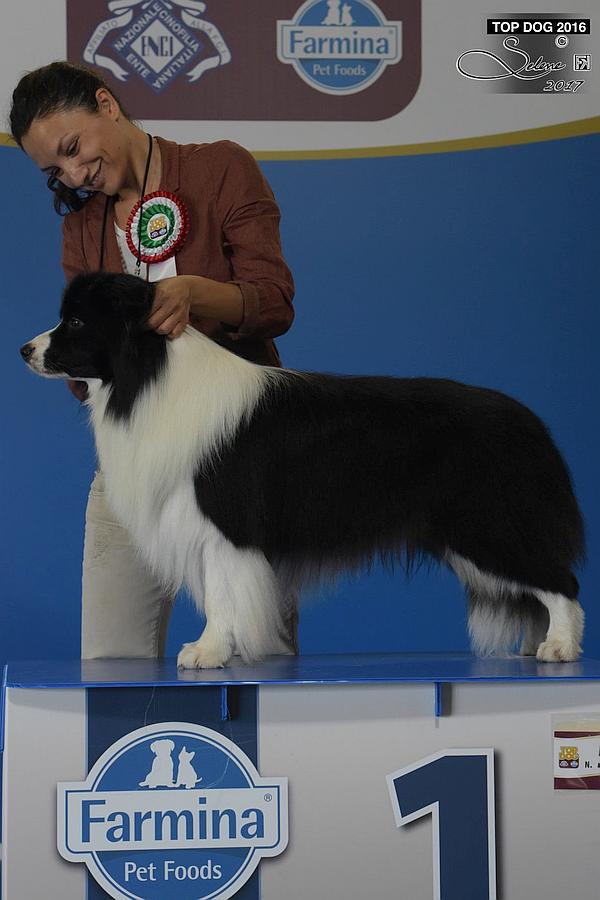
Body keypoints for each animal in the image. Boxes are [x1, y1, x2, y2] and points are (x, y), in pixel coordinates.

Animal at [21, 272, 585, 668]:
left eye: (75, 322)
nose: (25, 349)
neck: (148, 376)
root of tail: (529, 422)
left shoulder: (227, 525)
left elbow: (221, 592)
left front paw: (207, 653)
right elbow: (218, 592)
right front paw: (217, 650)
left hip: (488, 524)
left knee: (559, 582)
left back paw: (559, 647)